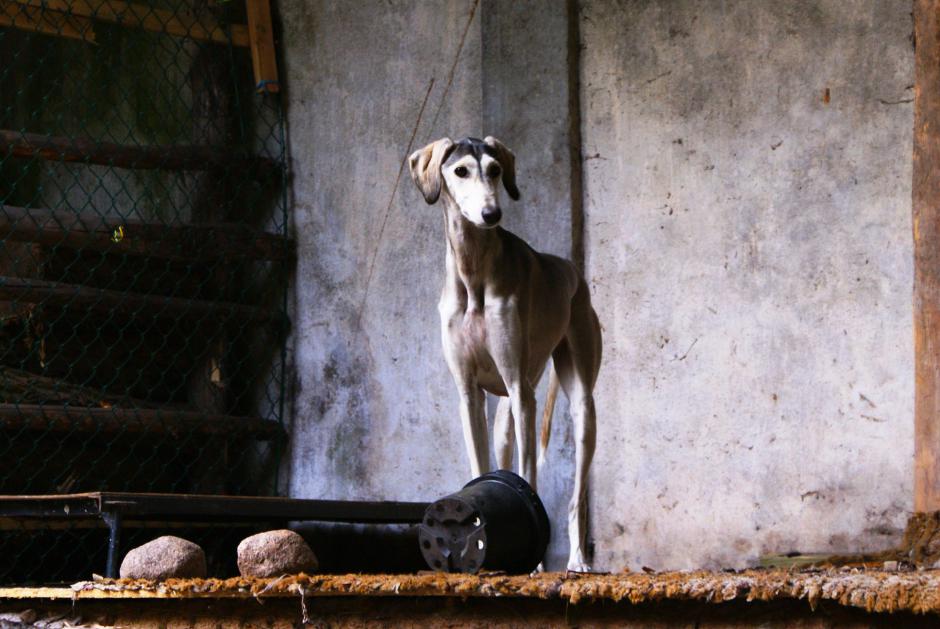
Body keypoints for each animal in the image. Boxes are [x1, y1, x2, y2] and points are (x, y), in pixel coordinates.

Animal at [410, 135, 604, 572]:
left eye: (495, 170)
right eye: (460, 170)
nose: (491, 214)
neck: (473, 271)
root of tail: (572, 271)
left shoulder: (519, 388)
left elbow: (529, 477)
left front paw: (534, 558)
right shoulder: (469, 394)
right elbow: (481, 469)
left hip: (578, 404)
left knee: (577, 495)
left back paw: (577, 559)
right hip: (505, 420)